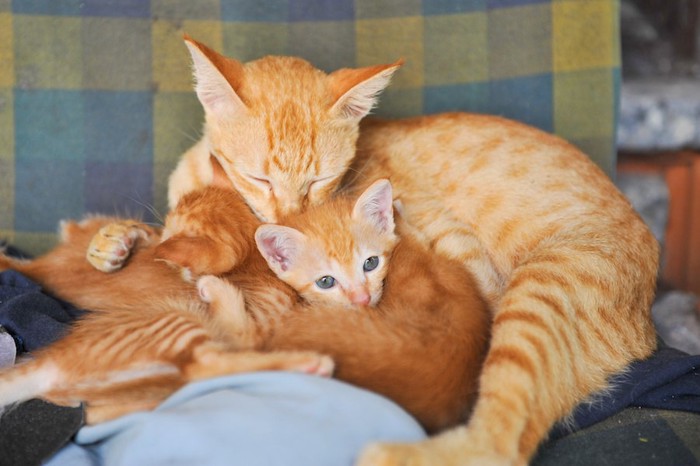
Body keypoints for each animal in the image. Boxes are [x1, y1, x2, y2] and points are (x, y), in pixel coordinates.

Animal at [91, 37, 656, 466]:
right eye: (259, 177)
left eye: (320, 179)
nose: (289, 220)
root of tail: (648, 329)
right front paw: (114, 240)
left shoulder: (447, 240)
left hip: (541, 291)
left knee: (500, 440)